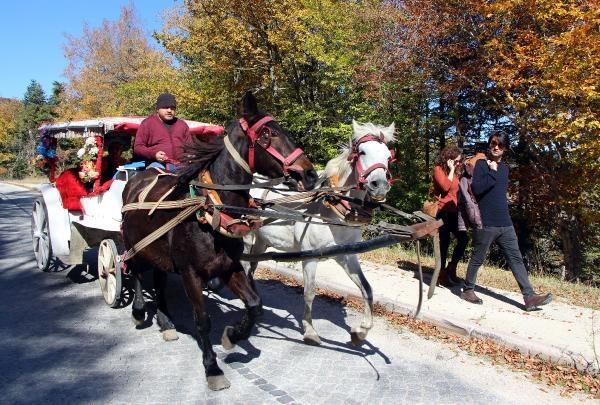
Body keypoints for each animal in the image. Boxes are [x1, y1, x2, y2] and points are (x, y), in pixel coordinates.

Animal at [122, 93, 318, 390]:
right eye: (267, 134)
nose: (309, 175)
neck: (210, 209)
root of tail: (137, 179)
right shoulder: (191, 274)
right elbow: (203, 321)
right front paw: (212, 367)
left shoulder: (229, 266)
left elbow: (254, 304)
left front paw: (232, 336)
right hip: (133, 243)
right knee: (133, 272)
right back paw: (138, 310)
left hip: (159, 254)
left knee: (158, 280)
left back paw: (166, 322)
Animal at [241, 120, 396, 344]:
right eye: (362, 152)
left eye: (388, 157)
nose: (380, 185)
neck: (331, 209)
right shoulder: (310, 257)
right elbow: (309, 293)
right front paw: (310, 330)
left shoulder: (347, 256)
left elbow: (366, 288)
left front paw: (362, 330)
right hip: (246, 235)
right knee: (244, 265)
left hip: (262, 240)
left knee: (252, 266)